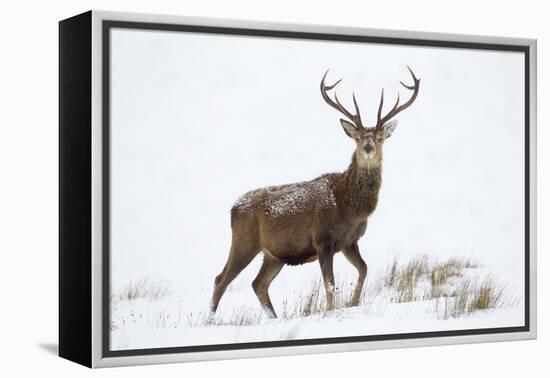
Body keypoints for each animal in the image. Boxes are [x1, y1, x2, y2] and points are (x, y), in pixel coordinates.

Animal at [212, 66, 422, 318]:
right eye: (358, 138)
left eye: (380, 138)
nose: (368, 147)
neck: (350, 207)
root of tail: (232, 208)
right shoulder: (323, 239)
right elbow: (329, 283)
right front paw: (331, 311)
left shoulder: (349, 241)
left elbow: (364, 268)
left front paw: (352, 303)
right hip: (244, 241)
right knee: (221, 279)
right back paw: (210, 319)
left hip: (274, 255)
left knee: (258, 283)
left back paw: (273, 318)